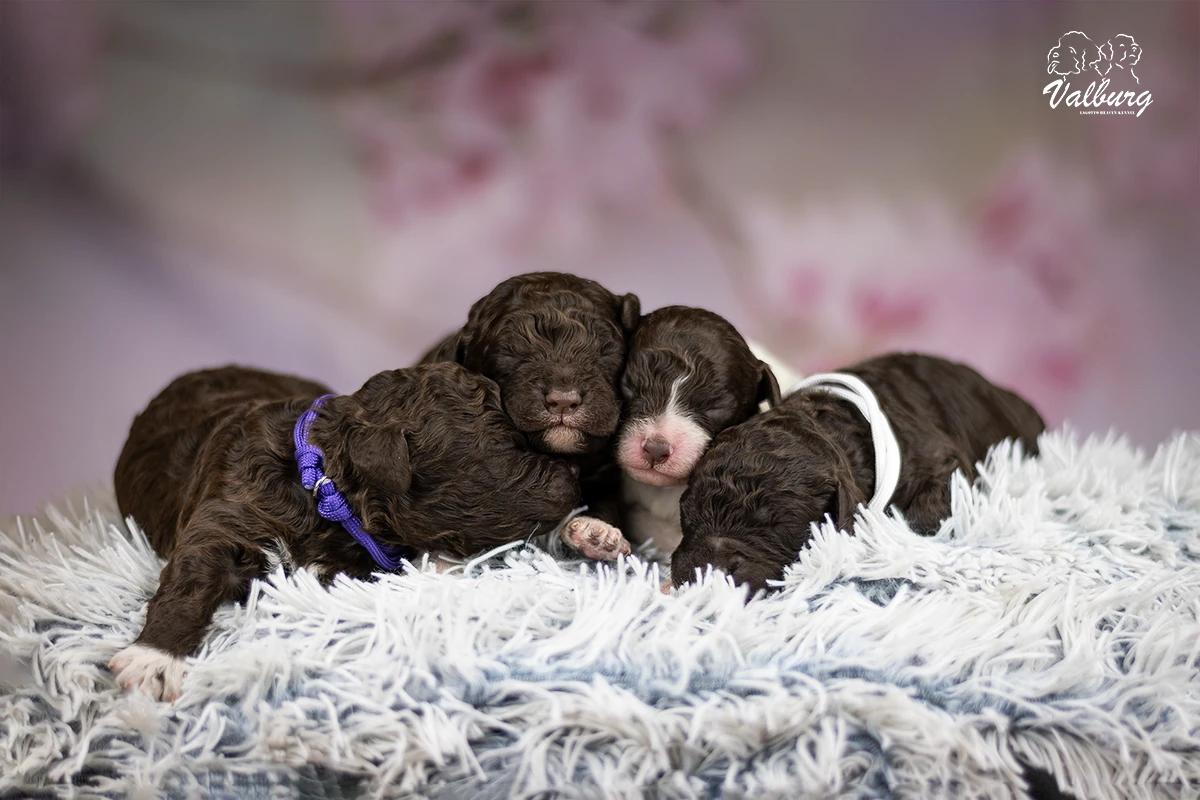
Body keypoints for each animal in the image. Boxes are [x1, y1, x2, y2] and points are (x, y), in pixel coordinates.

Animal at [110, 364, 580, 701]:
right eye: (510, 445)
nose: (576, 474)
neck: (320, 485)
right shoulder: (225, 515)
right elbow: (191, 580)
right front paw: (155, 659)